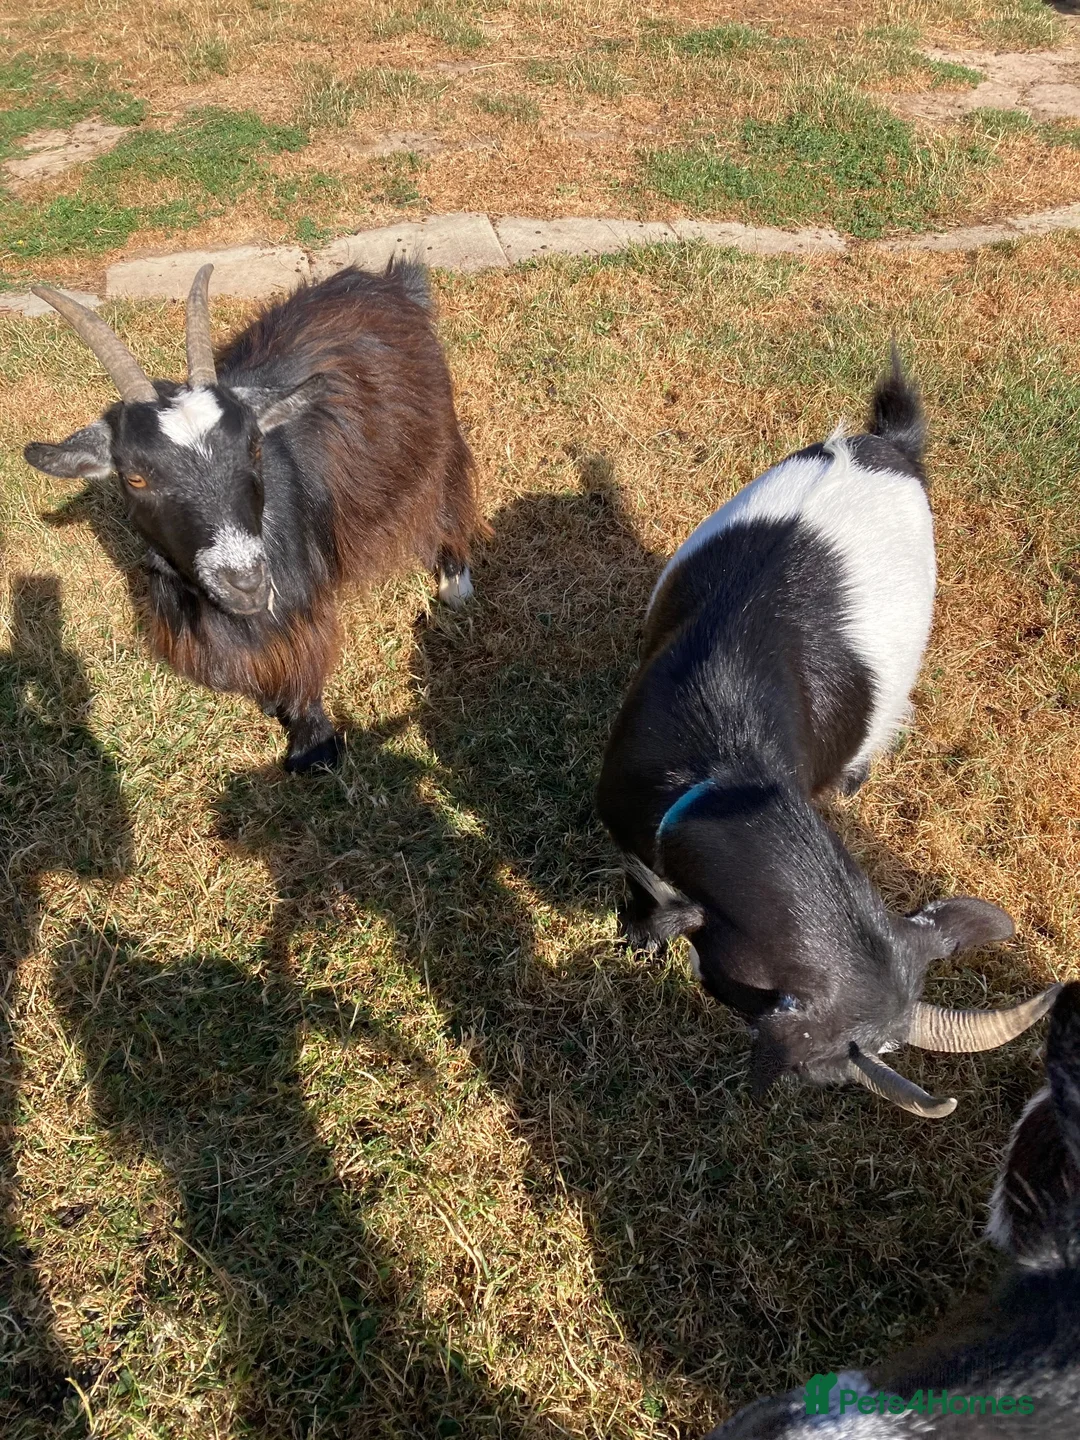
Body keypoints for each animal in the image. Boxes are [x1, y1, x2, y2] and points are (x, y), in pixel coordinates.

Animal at [23, 262, 482, 771]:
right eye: (135, 477)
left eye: (254, 446)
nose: (245, 581)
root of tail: (391, 281)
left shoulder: (295, 598)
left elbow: (303, 656)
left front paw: (313, 745)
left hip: (436, 435)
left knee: (449, 493)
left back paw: (455, 583)